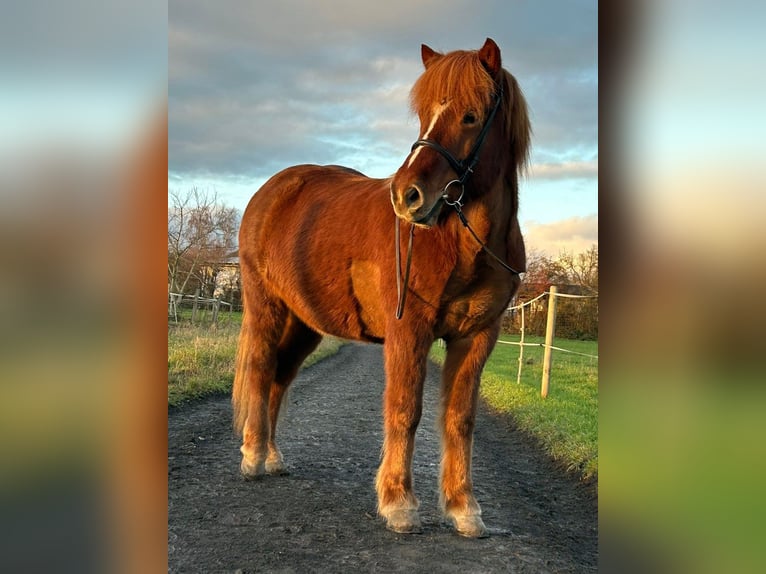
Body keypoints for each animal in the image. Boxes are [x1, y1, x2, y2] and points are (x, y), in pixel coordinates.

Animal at [234, 37, 532, 540]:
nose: (407, 196)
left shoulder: (477, 338)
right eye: (424, 114)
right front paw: (399, 503)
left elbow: (459, 419)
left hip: (304, 322)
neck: (458, 241)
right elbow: (405, 410)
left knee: (279, 376)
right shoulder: (408, 330)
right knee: (259, 370)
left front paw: (464, 509)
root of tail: (271, 192)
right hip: (266, 309)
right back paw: (254, 456)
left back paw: (273, 457)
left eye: (471, 115)